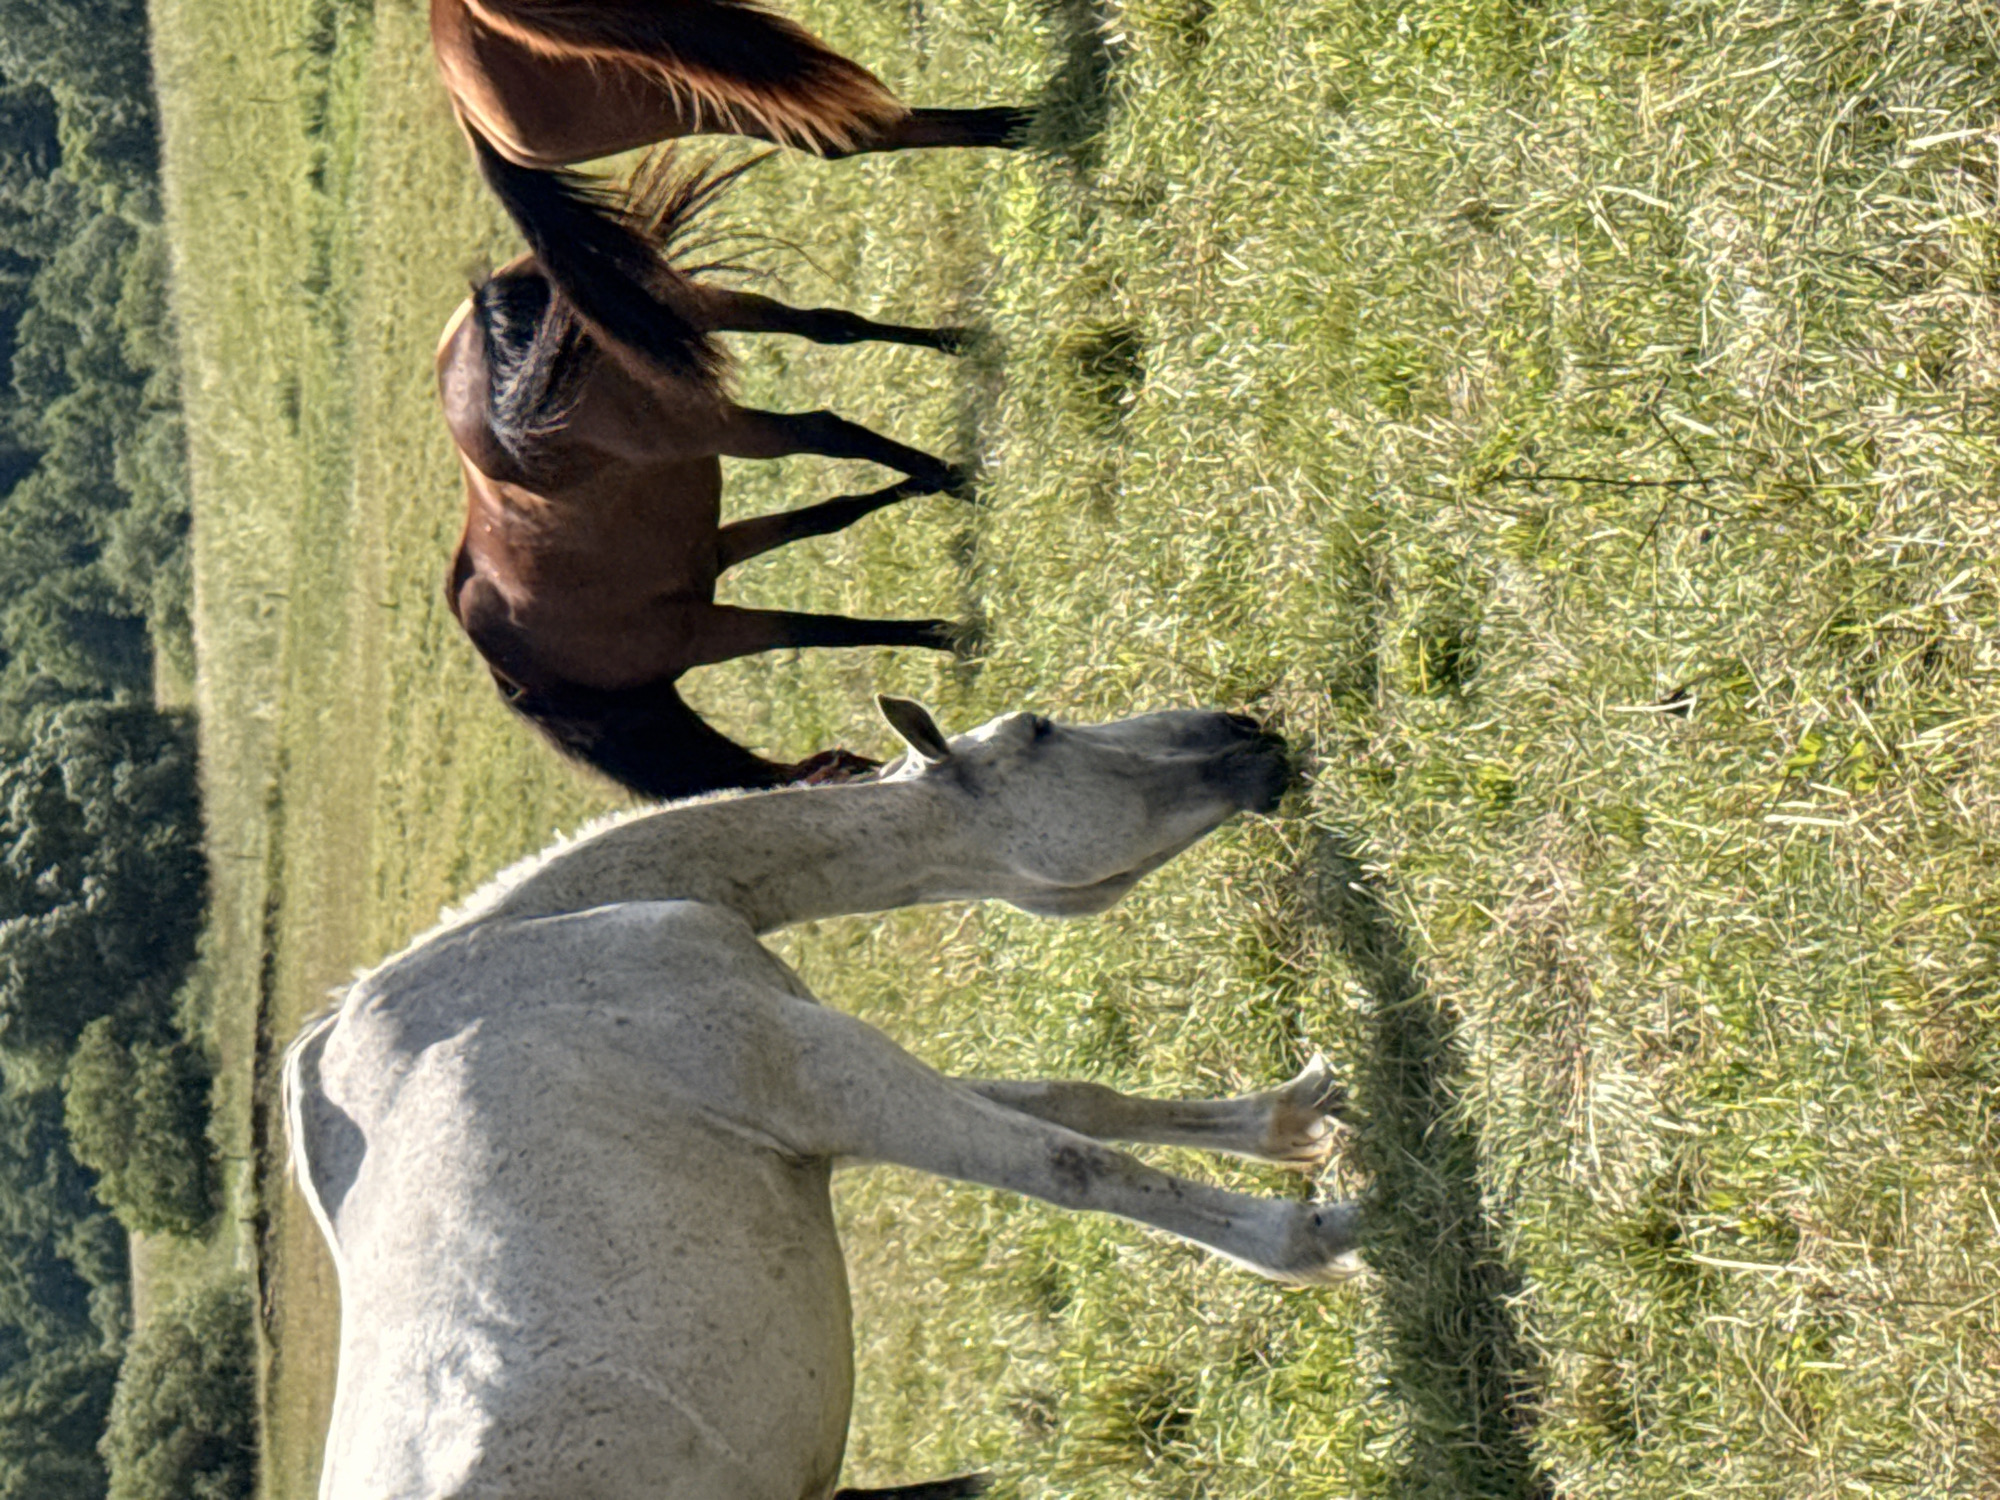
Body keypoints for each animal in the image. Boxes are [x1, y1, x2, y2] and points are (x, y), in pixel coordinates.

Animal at [284, 698, 1362, 1499]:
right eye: (1038, 729)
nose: (1242, 727)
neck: (529, 947)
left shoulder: (819, 1091)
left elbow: (1074, 1098)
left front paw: (1292, 1120)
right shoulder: (813, 1069)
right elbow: (1073, 1164)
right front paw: (1322, 1232)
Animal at [439, 152, 975, 800]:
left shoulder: (706, 593)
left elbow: (822, 577)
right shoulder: (711, 578)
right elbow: (825, 569)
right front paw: (947, 623)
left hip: (697, 344)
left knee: (822, 362)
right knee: (822, 350)